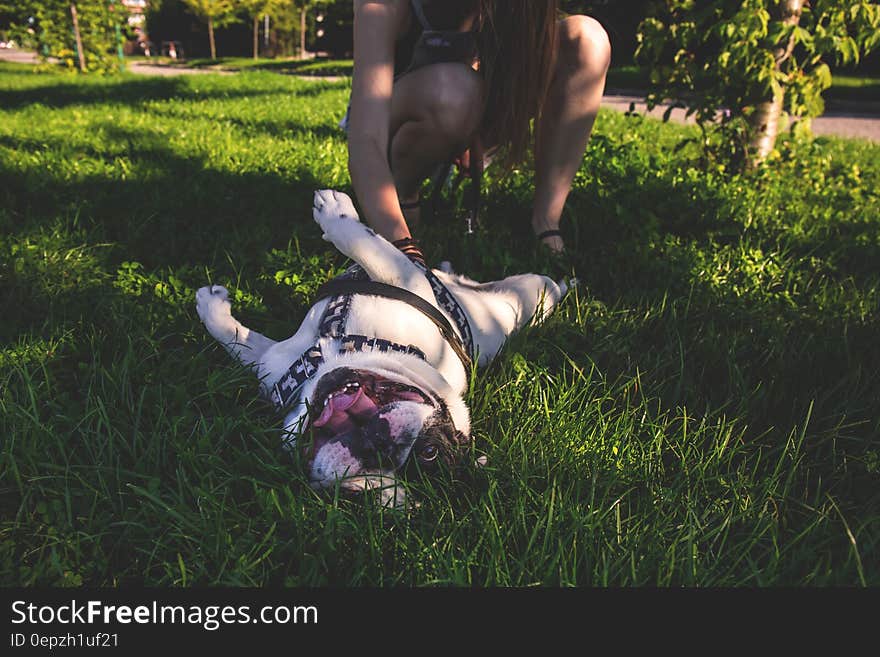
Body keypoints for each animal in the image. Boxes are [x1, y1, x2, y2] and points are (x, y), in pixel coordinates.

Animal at [196, 190, 572, 508]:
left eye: (429, 452)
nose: (381, 450)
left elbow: (373, 248)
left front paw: (334, 211)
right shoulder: (274, 363)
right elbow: (237, 340)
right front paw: (210, 305)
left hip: (526, 299)